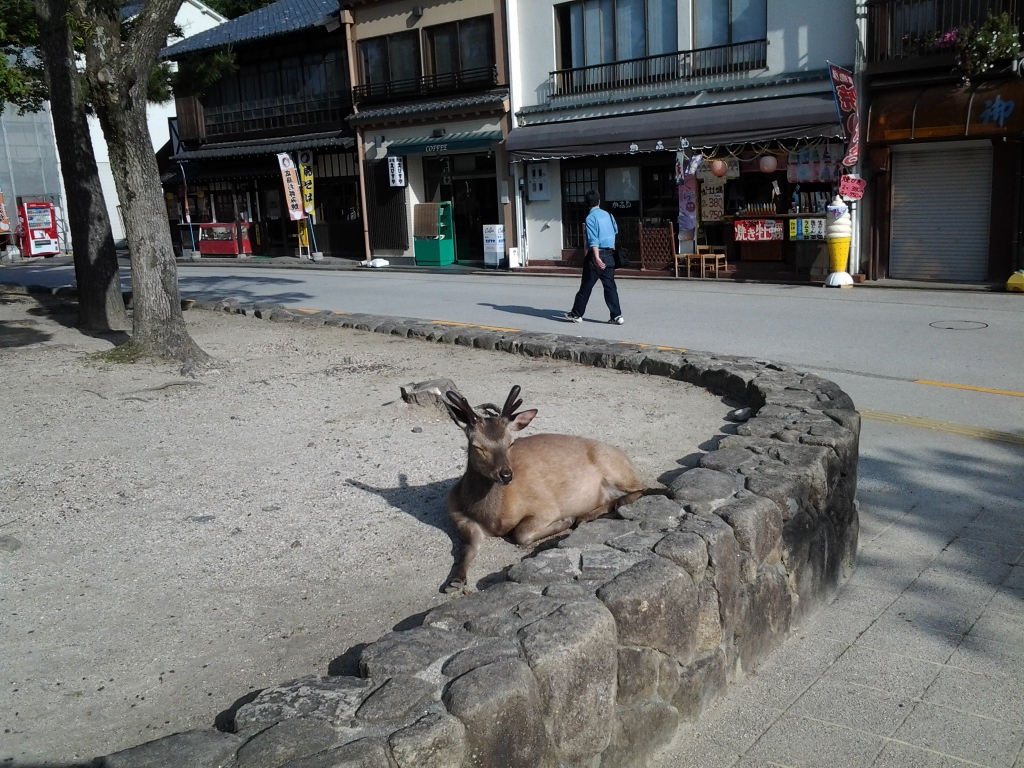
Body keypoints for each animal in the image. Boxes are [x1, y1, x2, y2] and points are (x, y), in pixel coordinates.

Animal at [443, 385, 657, 591]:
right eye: (477, 446)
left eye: (511, 443)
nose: (506, 475)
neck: (493, 518)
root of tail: (626, 458)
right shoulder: (458, 516)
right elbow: (468, 548)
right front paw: (455, 580)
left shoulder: (546, 507)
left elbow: (521, 534)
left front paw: (564, 521)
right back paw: (586, 516)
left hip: (615, 468)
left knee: (644, 488)